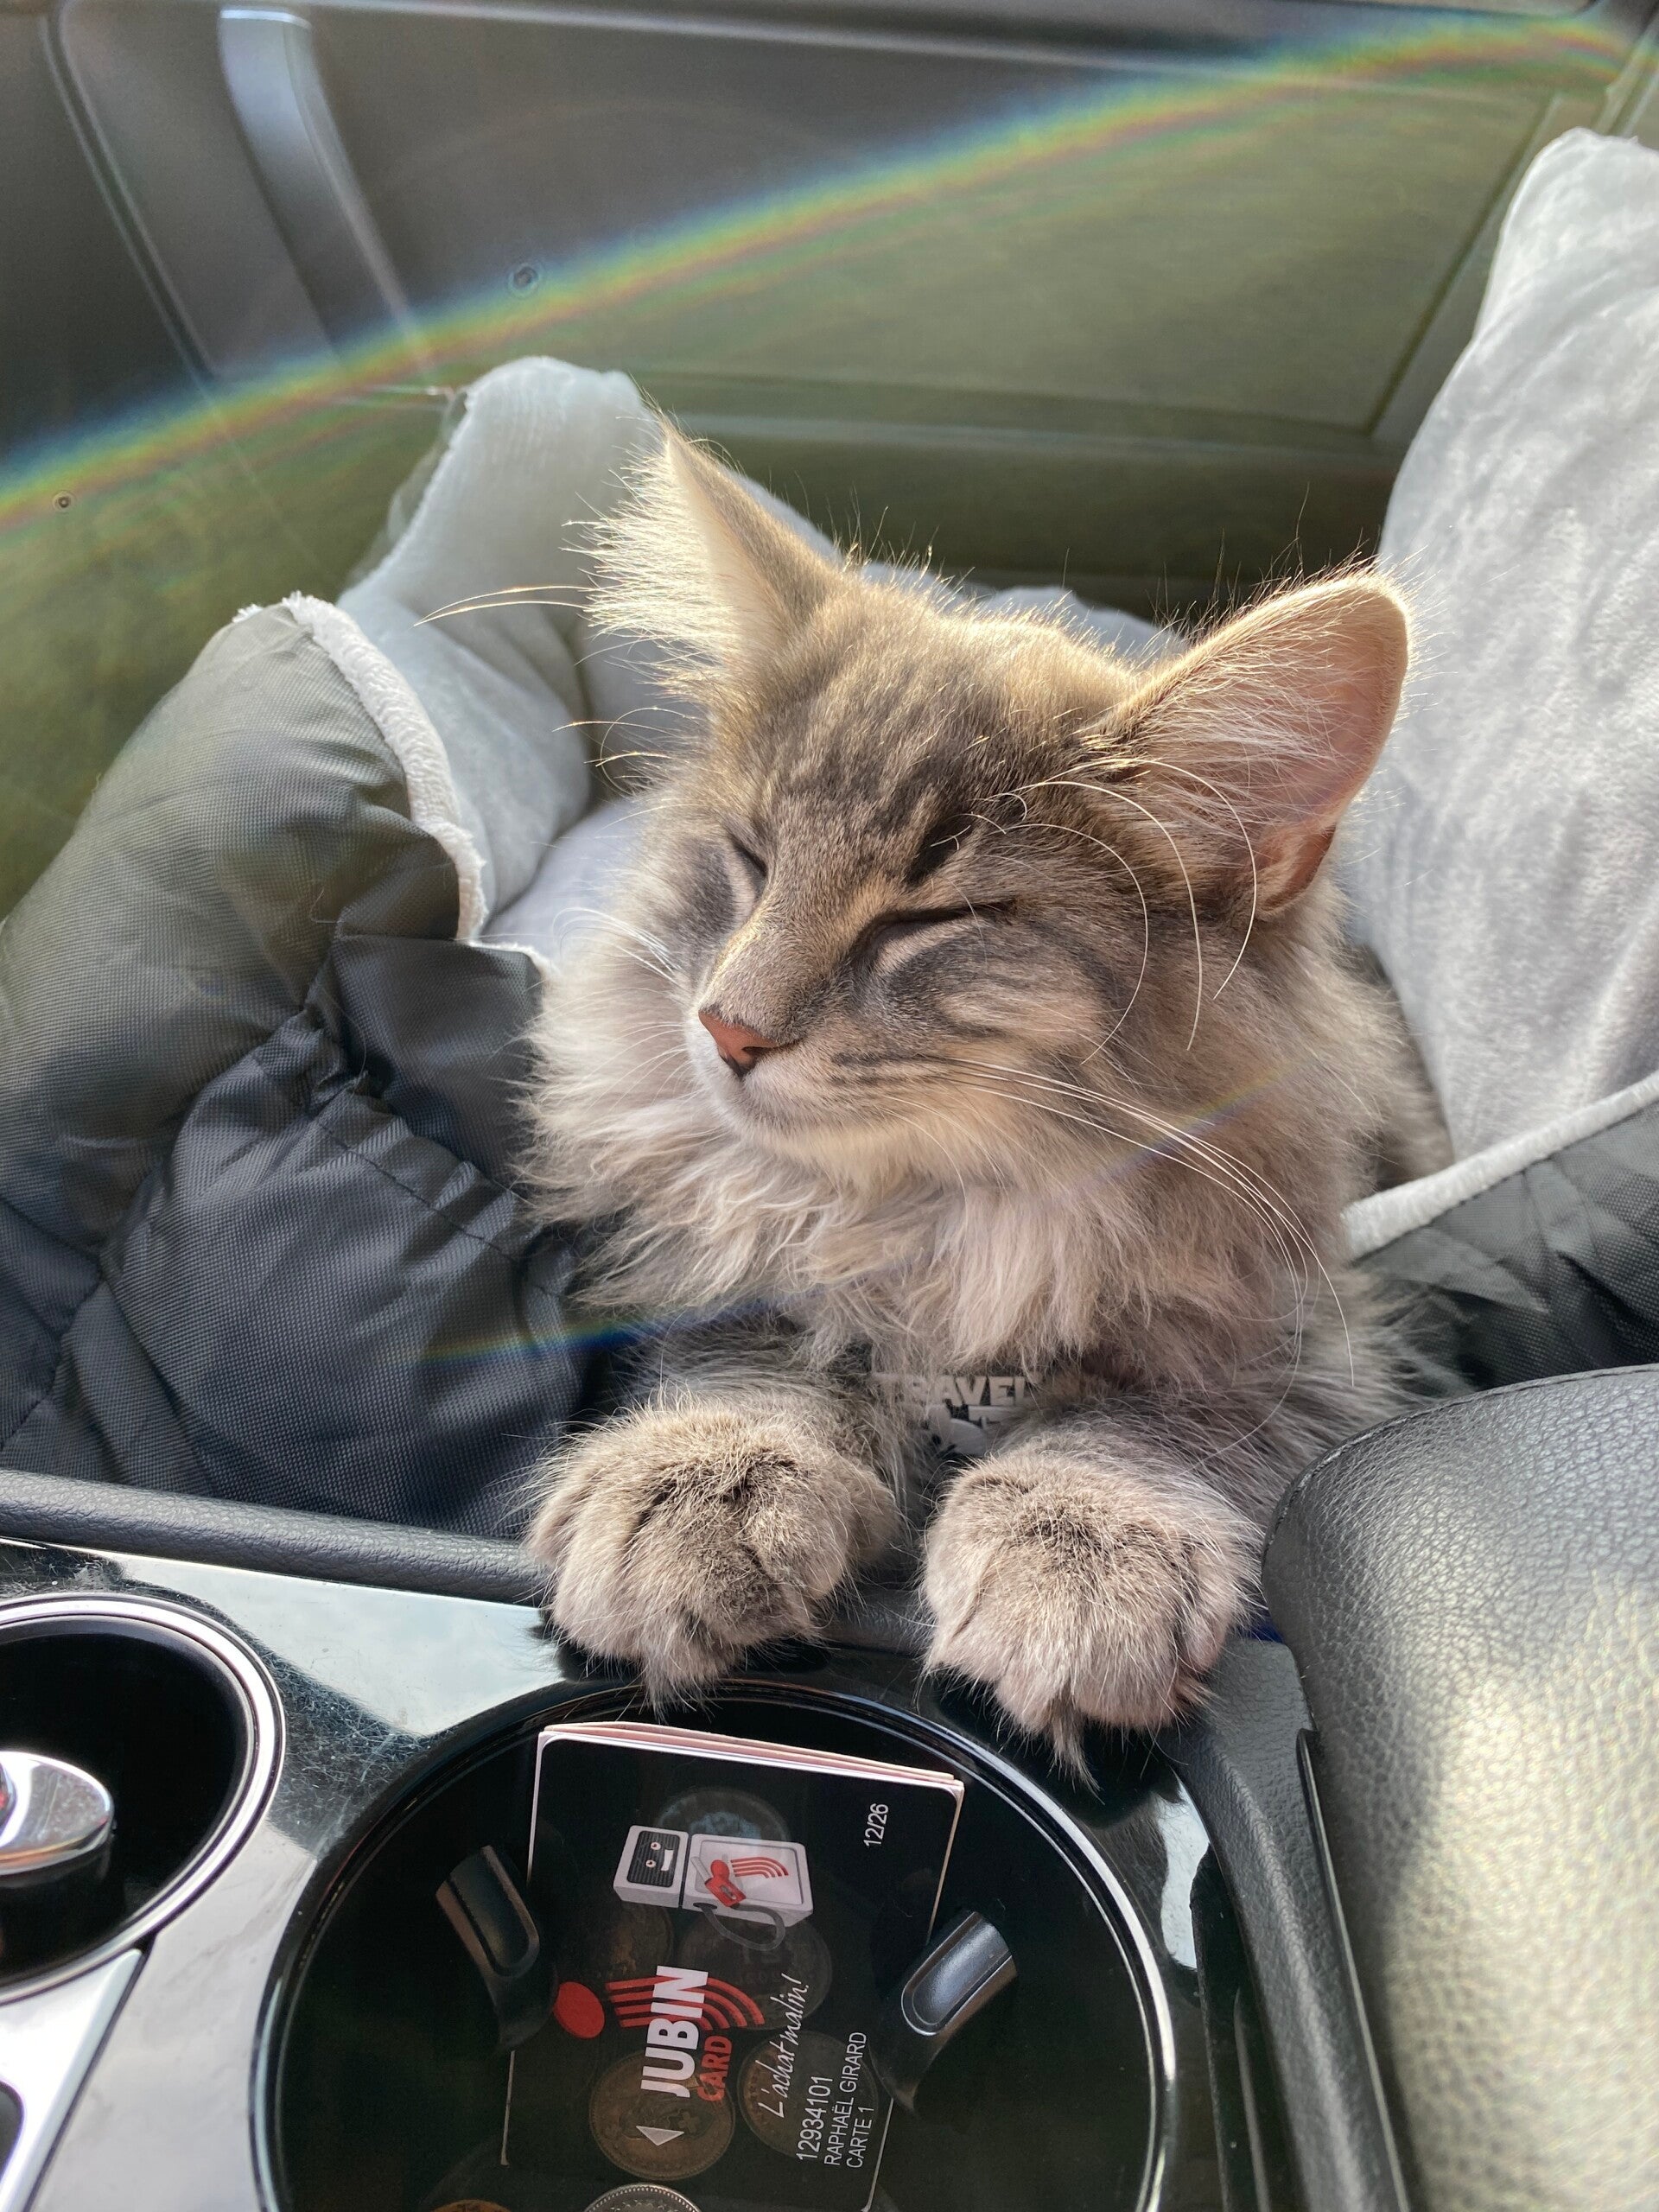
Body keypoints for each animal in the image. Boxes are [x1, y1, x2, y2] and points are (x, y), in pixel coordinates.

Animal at [524, 428, 1439, 1763]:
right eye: (752, 860)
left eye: (931, 917)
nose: (726, 1026)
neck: (935, 1220)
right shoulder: (710, 1255)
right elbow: (750, 1354)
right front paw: (695, 1480)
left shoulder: (1304, 1335)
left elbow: (1148, 1420)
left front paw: (1081, 1546)